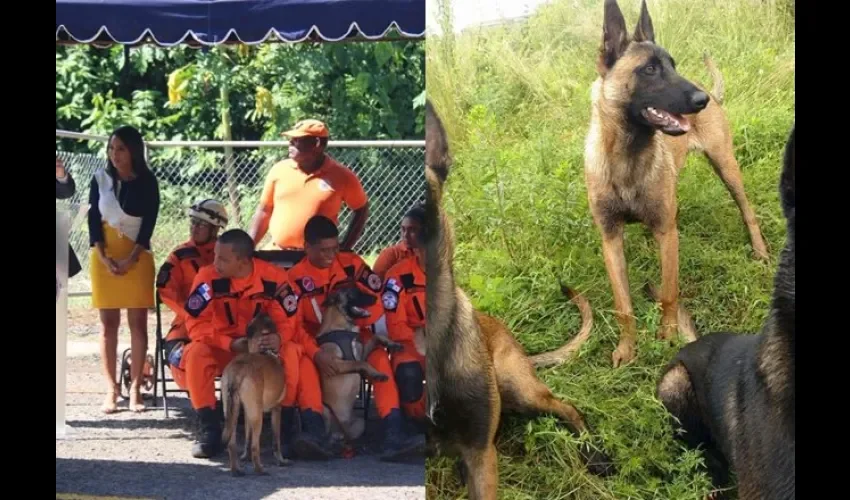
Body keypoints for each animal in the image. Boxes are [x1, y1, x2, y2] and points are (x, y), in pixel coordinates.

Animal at [220, 312, 290, 476]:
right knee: (255, 447)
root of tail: (237, 370)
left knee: (232, 444)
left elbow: (247, 436)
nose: (262, 311)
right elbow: (276, 440)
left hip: (232, 413)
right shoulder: (277, 409)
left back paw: (236, 470)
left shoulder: (246, 413)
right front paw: (281, 460)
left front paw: (244, 457)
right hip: (258, 417)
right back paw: (259, 469)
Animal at [588, 0, 764, 368]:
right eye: (649, 69)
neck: (628, 156)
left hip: (727, 167)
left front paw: (668, 337)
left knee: (748, 210)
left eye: (672, 65)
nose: (701, 101)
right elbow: (623, 304)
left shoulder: (667, 233)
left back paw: (760, 249)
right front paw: (628, 348)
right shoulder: (610, 238)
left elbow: (669, 292)